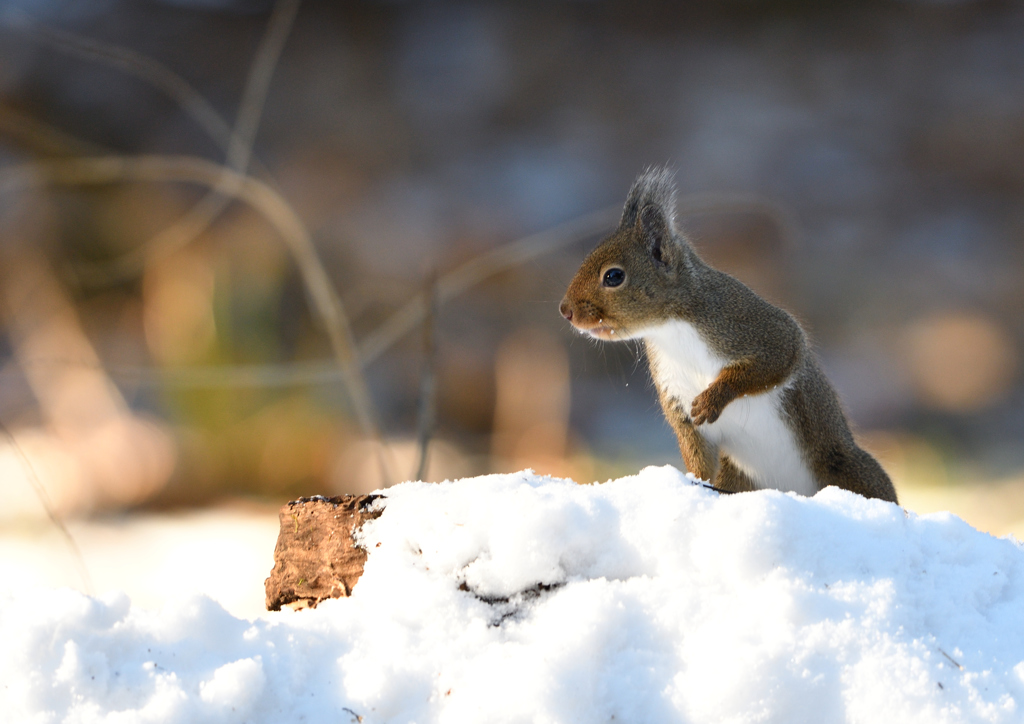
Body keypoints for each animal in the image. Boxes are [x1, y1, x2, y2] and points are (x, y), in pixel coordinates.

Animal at [561, 167, 897, 503]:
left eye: (614, 276)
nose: (565, 310)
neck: (671, 331)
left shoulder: (754, 326)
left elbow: (776, 359)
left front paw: (714, 398)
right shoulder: (675, 391)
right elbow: (696, 450)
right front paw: (692, 482)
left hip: (847, 467)